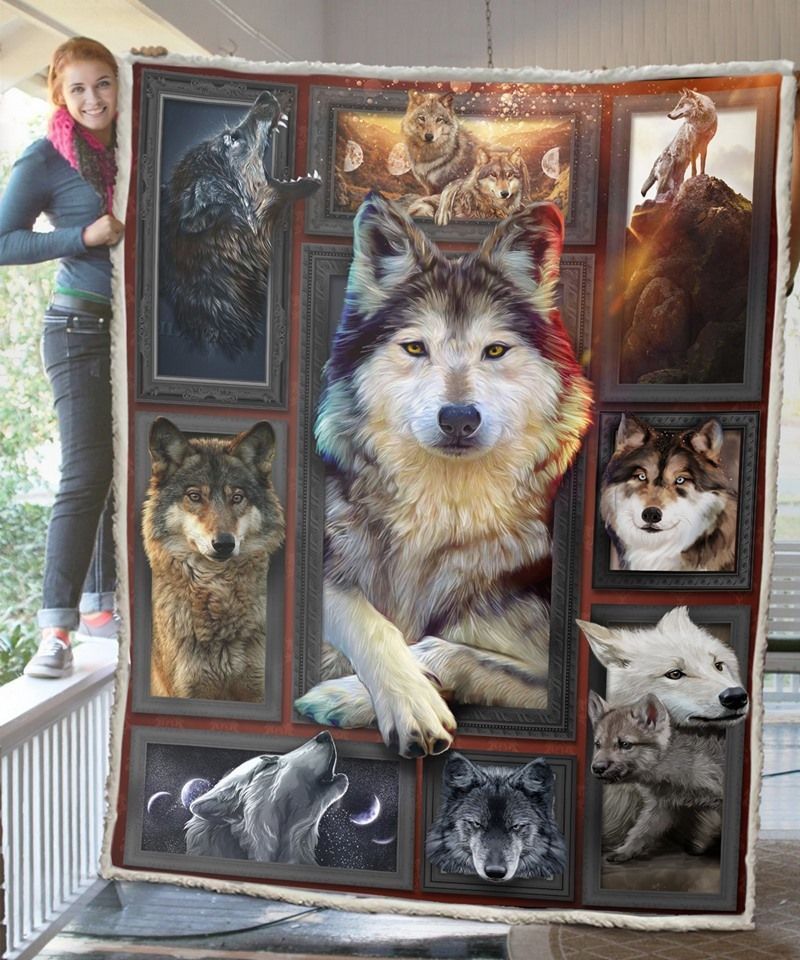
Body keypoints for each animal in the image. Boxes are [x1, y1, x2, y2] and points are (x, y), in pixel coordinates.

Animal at [294, 194, 593, 758]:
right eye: (415, 348)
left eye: (494, 351)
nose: (458, 418)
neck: (440, 515)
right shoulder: (331, 566)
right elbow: (374, 623)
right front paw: (409, 700)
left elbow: (451, 649)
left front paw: (356, 694)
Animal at [588, 691, 725, 862]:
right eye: (598, 744)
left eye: (625, 744)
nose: (597, 768)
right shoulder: (662, 806)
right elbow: (640, 832)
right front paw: (624, 851)